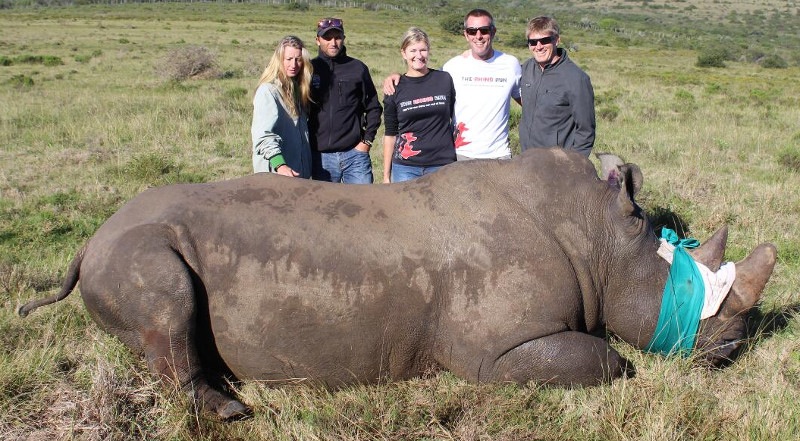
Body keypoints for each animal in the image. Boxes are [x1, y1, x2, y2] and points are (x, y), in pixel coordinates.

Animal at [19, 148, 777, 419]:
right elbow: (610, 362)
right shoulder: (497, 352)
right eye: (705, 299)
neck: (600, 239)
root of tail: (90, 239)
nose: (733, 347)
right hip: (135, 247)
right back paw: (231, 409)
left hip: (124, 244)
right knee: (170, 305)